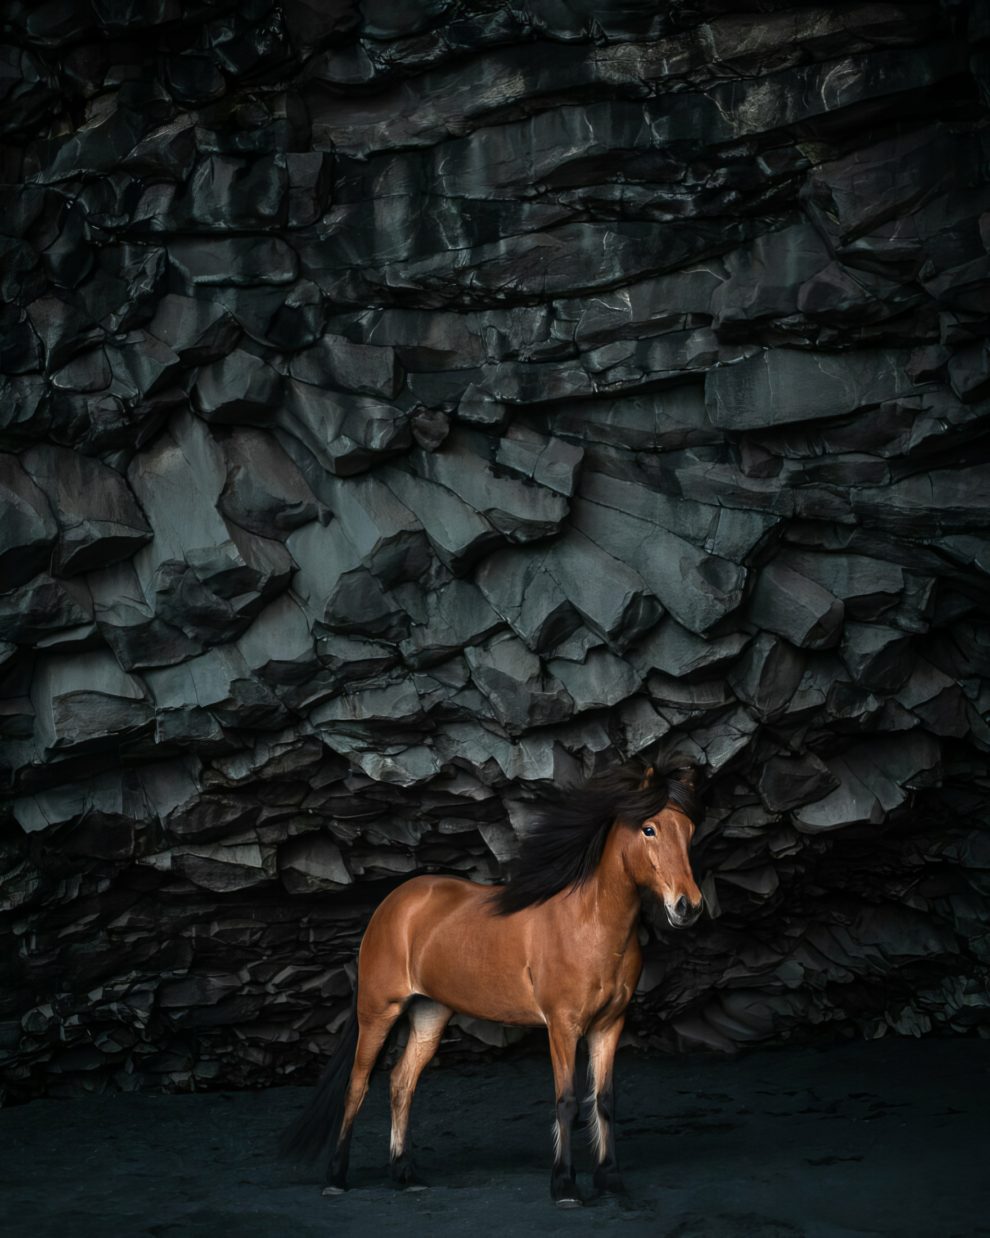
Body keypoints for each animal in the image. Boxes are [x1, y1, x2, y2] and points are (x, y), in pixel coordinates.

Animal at [282, 747, 707, 1203]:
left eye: (688, 829)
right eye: (649, 829)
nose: (688, 906)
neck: (590, 923)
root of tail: (393, 904)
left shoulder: (609, 1026)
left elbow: (605, 1101)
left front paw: (610, 1179)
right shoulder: (562, 1026)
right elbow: (567, 1101)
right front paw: (564, 1185)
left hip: (430, 1014)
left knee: (401, 1083)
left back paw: (405, 1173)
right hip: (378, 1011)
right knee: (357, 1086)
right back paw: (337, 1176)